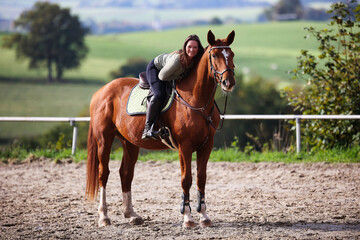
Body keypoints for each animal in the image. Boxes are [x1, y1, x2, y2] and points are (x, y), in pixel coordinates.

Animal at [85, 30, 235, 229]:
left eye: (231, 55)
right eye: (215, 55)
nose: (228, 82)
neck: (197, 100)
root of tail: (101, 91)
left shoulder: (206, 145)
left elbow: (201, 178)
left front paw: (204, 216)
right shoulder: (185, 147)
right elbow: (186, 179)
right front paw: (187, 218)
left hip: (129, 142)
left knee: (126, 174)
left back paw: (132, 215)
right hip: (104, 139)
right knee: (104, 174)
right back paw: (104, 217)